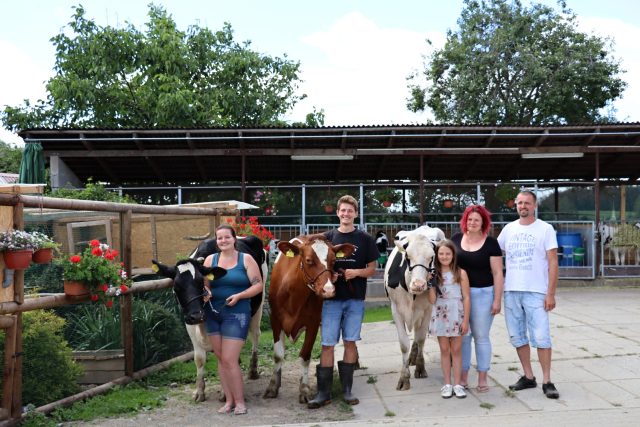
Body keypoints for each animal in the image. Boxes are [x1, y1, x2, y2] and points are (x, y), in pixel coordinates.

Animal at [264, 234, 358, 404]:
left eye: (333, 260)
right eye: (308, 260)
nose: (328, 290)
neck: (293, 296)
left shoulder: (313, 323)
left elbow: (305, 356)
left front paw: (304, 390)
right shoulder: (275, 319)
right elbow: (278, 355)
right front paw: (272, 387)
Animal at [384, 227, 444, 392]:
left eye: (431, 257)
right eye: (407, 256)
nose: (418, 285)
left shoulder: (427, 310)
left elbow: (421, 338)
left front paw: (420, 368)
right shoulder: (395, 309)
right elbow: (404, 343)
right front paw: (404, 378)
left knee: (417, 336)